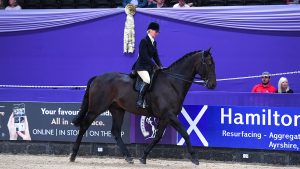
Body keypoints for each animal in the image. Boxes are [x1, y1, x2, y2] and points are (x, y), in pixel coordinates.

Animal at [69, 48, 216, 165]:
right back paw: (73, 155)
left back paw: (129, 157)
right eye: (209, 64)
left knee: (116, 132)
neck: (172, 83)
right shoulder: (170, 115)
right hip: (96, 109)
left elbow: (158, 137)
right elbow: (185, 133)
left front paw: (143, 157)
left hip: (117, 110)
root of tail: (97, 77)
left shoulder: (166, 117)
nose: (213, 85)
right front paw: (195, 158)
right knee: (83, 126)